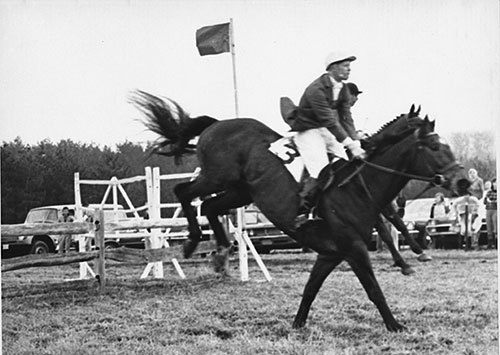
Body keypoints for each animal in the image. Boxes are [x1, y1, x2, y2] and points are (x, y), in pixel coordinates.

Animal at [132, 91, 464, 330]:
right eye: (435, 146)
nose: (463, 180)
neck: (357, 185)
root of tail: (217, 123)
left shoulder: (331, 253)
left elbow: (311, 288)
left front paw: (298, 323)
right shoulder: (354, 248)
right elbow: (373, 288)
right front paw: (394, 324)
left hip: (240, 191)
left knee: (210, 205)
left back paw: (222, 251)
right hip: (216, 177)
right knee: (184, 193)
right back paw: (192, 241)